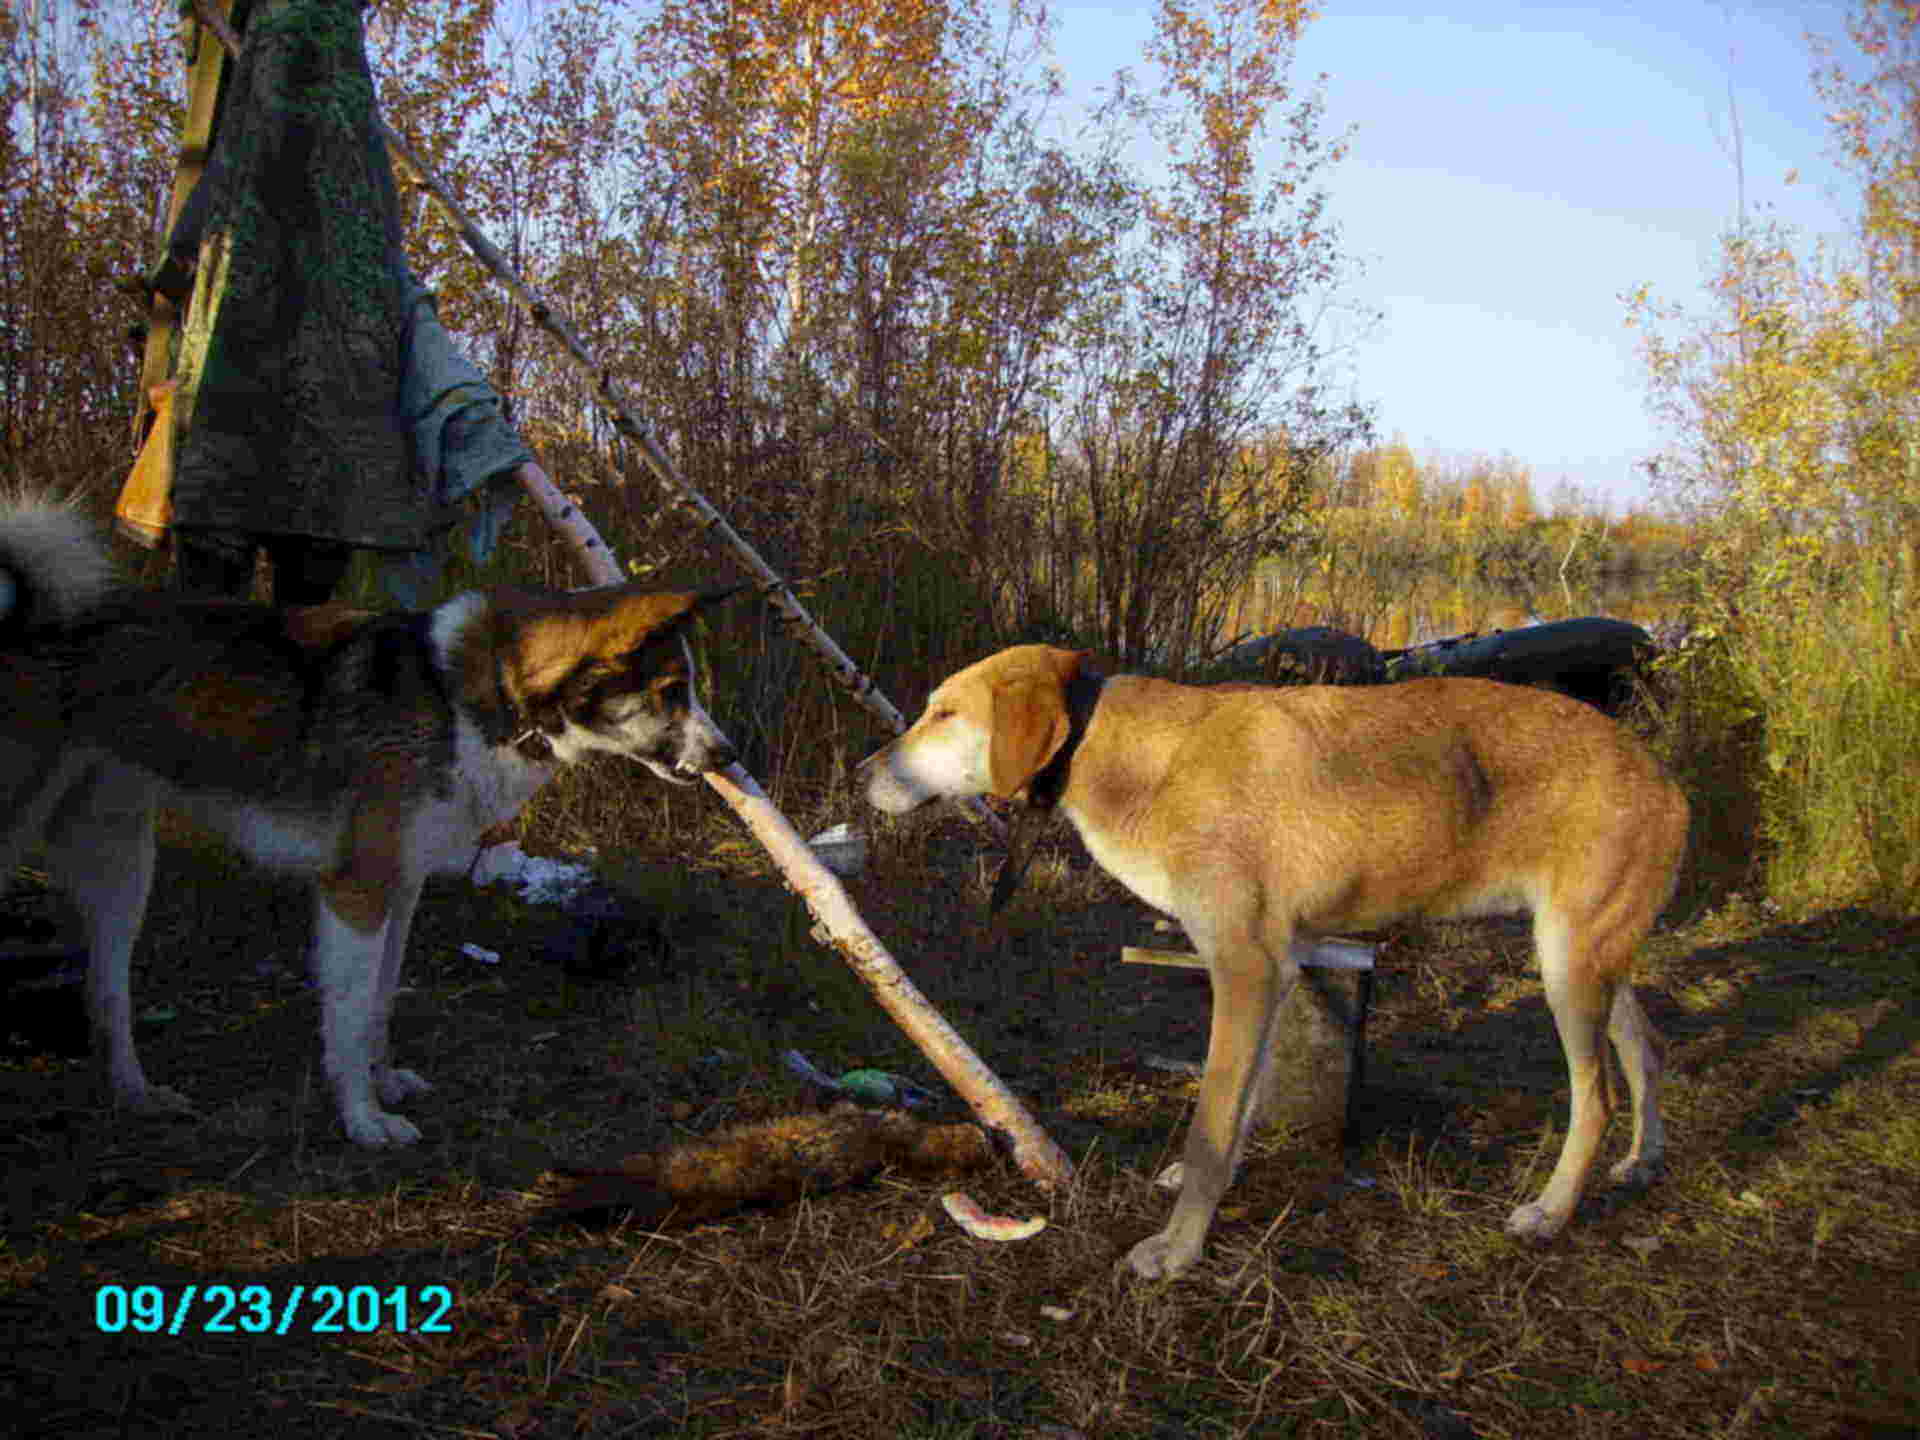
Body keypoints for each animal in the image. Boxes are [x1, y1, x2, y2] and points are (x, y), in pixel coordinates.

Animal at [864, 648, 1689, 1282]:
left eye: (944, 713)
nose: (862, 772)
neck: (1134, 754)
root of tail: (1664, 776)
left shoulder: (1246, 971)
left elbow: (1209, 1125)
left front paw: (1177, 1250)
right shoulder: (1279, 974)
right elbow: (1239, 1112)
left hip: (1568, 971)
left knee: (1596, 1099)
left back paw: (1551, 1213)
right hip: (1580, 962)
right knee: (1647, 1049)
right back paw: (1644, 1160)